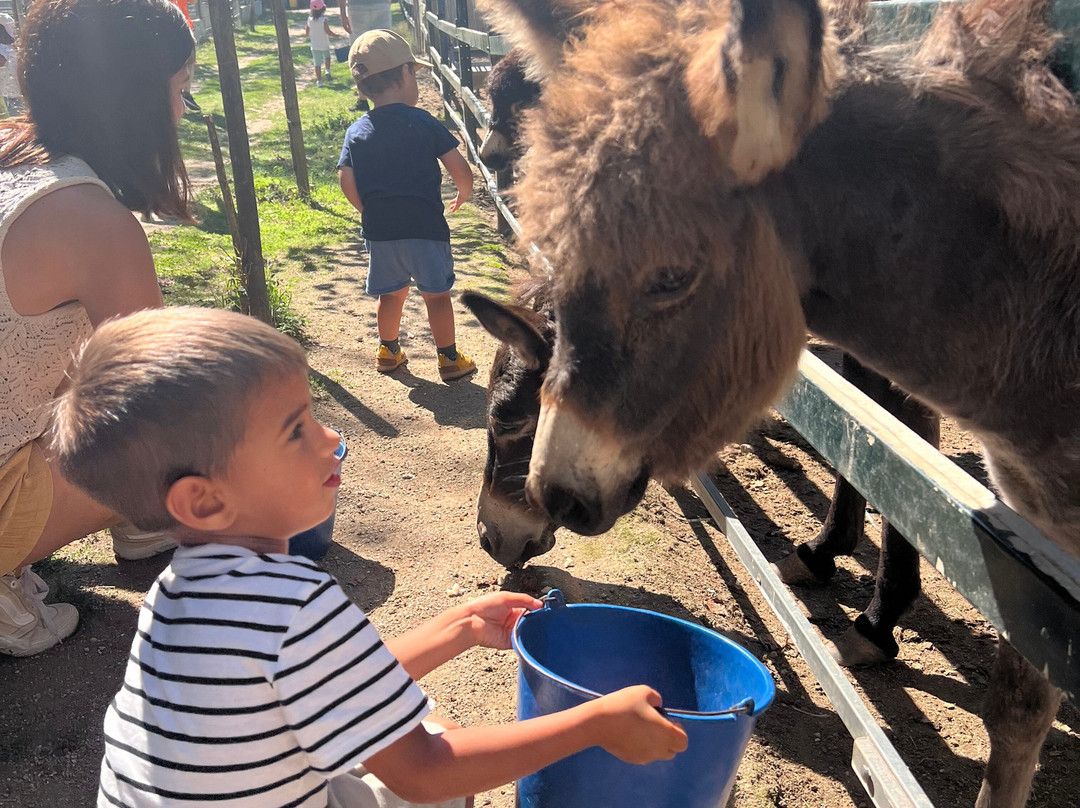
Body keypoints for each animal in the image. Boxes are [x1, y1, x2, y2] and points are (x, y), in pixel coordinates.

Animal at [475, 0, 1080, 804]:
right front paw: (829, 554)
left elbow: (892, 447)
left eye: (672, 276)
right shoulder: (1035, 536)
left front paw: (875, 616)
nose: (497, 538)